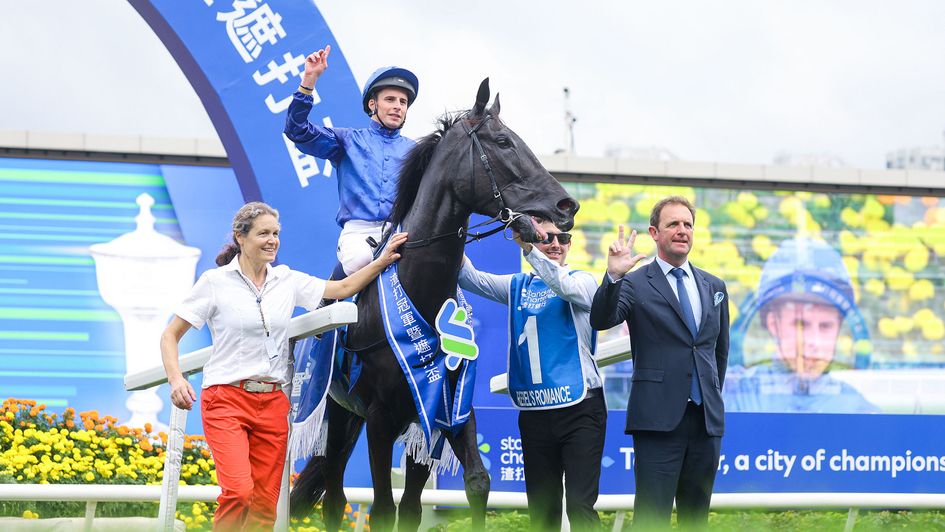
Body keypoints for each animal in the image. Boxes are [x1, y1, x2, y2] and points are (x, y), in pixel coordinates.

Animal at [292, 79, 580, 532]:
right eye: (504, 142)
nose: (567, 206)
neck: (421, 294)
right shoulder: (381, 417)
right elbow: (382, 509)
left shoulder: (448, 407)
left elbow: (475, 483)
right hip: (335, 413)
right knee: (335, 500)